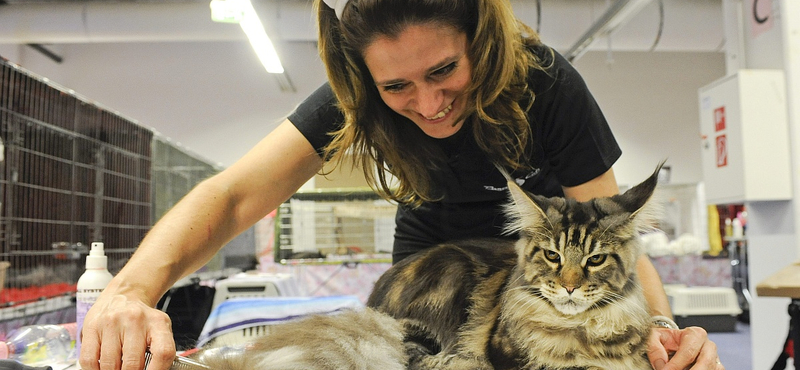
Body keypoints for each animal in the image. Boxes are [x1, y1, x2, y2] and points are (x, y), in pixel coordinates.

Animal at [191, 165, 660, 370]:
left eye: (595, 259)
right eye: (552, 256)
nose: (568, 287)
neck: (582, 331)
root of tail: (375, 302)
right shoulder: (509, 354)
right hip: (449, 276)